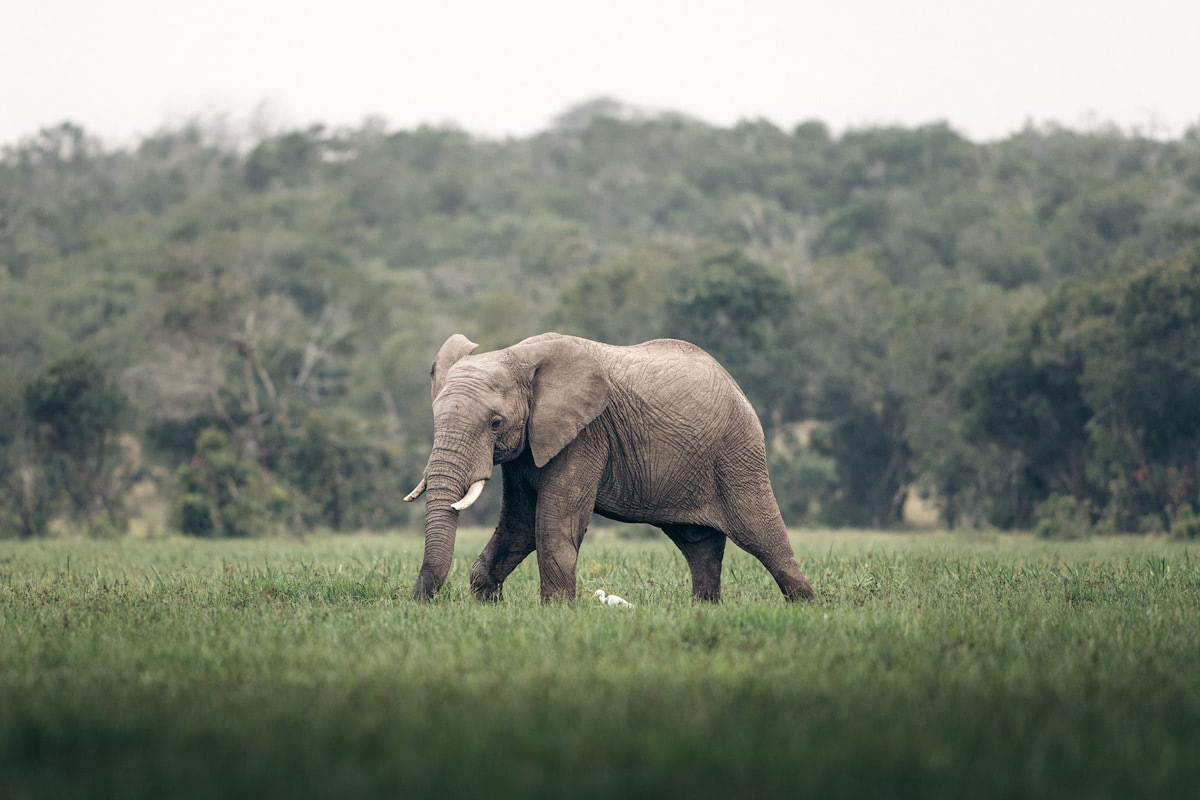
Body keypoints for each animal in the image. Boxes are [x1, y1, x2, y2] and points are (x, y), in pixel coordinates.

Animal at [405, 328, 816, 604]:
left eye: (495, 423)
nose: (419, 604)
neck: (515, 354)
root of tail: (735, 384)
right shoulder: (529, 445)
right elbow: (518, 525)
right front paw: (487, 603)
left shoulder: (586, 434)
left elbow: (552, 524)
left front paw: (555, 613)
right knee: (698, 543)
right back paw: (704, 609)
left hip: (738, 453)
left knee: (760, 533)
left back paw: (806, 606)